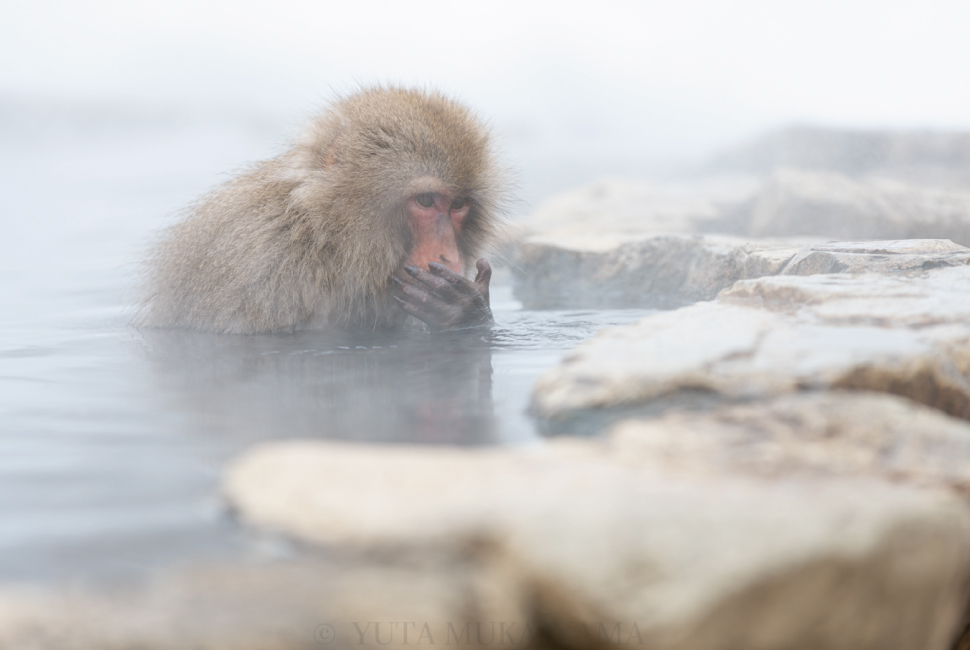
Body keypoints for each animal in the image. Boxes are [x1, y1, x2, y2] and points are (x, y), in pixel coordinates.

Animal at [142, 86, 506, 332]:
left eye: (458, 205)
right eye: (427, 201)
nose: (448, 256)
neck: (324, 239)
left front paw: (466, 310)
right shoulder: (261, 271)